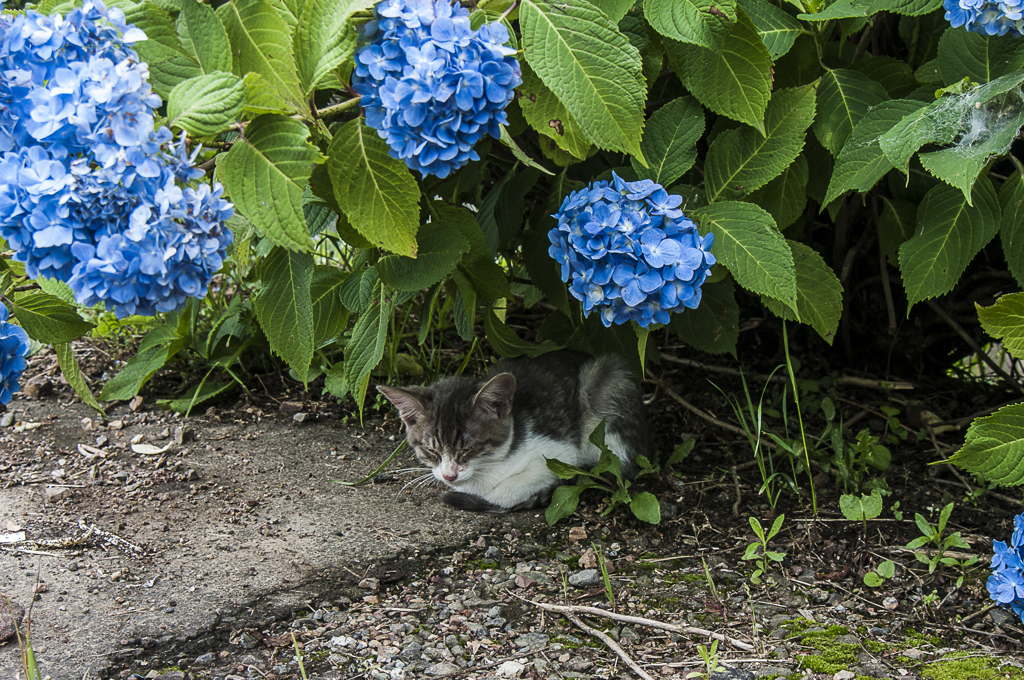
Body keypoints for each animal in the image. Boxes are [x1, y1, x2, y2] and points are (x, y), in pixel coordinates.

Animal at [380, 352, 651, 512]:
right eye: (431, 449)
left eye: (469, 447)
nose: (449, 475)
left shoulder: (560, 454)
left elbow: (507, 490)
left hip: (606, 390)